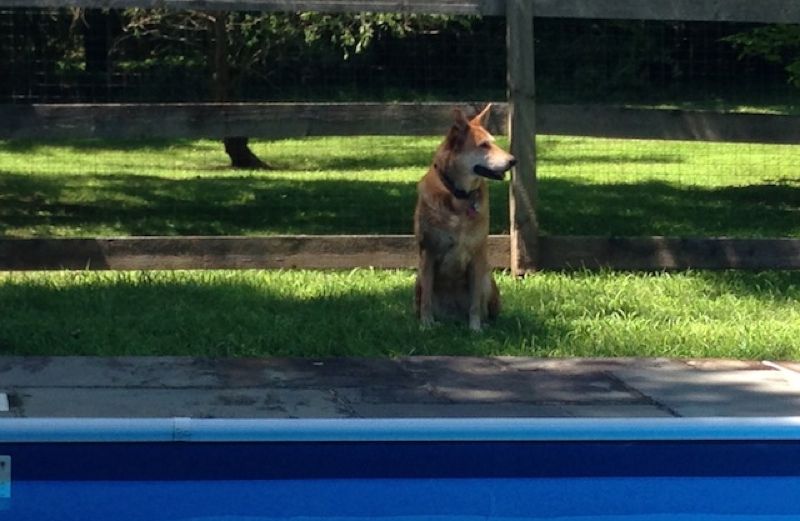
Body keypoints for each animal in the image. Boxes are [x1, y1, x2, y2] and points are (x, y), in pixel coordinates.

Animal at [416, 104, 516, 330]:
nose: (513, 160)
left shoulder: (477, 256)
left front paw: (475, 328)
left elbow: (475, 303)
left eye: (493, 143)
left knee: (486, 307)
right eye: (484, 145)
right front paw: (426, 324)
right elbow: (427, 298)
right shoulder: (428, 252)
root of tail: (454, 316)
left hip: (487, 278)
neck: (459, 197)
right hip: (417, 281)